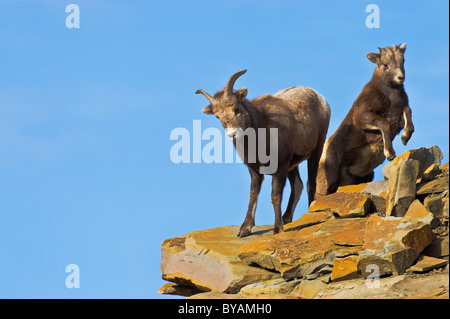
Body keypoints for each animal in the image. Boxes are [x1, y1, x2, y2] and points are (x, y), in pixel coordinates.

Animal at [197, 70, 330, 238]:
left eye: (236, 108)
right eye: (217, 116)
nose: (232, 135)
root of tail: (320, 97)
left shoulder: (280, 168)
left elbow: (275, 196)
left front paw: (277, 229)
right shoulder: (255, 170)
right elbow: (253, 194)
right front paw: (245, 229)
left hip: (316, 151)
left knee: (310, 184)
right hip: (292, 165)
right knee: (297, 184)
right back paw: (287, 218)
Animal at [314, 43, 414, 198]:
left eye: (403, 60)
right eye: (385, 64)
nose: (400, 77)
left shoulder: (399, 117)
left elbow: (408, 113)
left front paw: (405, 137)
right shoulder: (363, 117)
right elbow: (384, 124)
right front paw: (390, 154)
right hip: (326, 182)